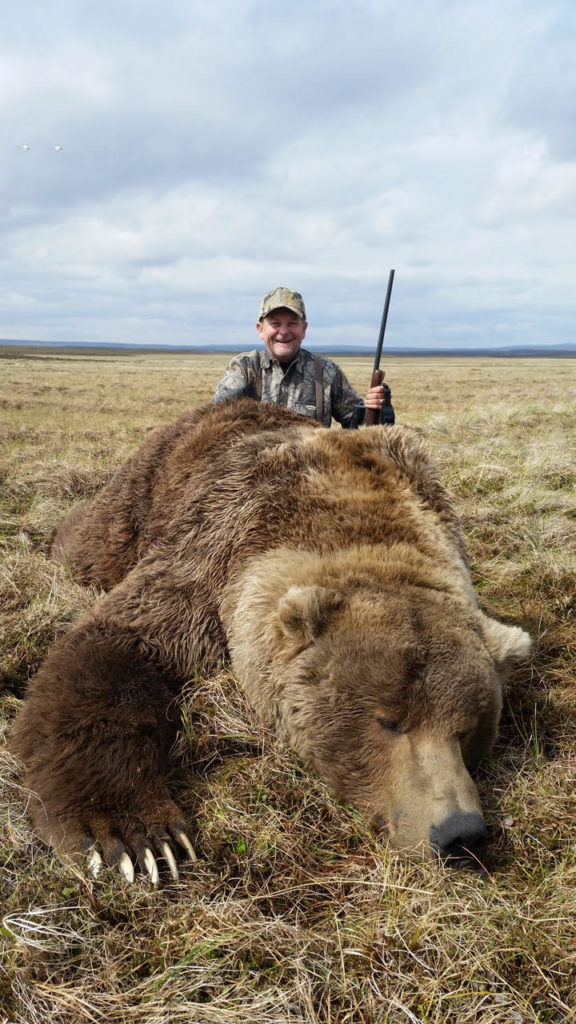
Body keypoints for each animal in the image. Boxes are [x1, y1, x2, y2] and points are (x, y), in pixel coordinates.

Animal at [11, 397, 528, 880]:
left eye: (470, 728)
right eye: (389, 721)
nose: (460, 832)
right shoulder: (209, 552)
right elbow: (116, 646)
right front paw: (138, 840)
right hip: (139, 496)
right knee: (89, 541)